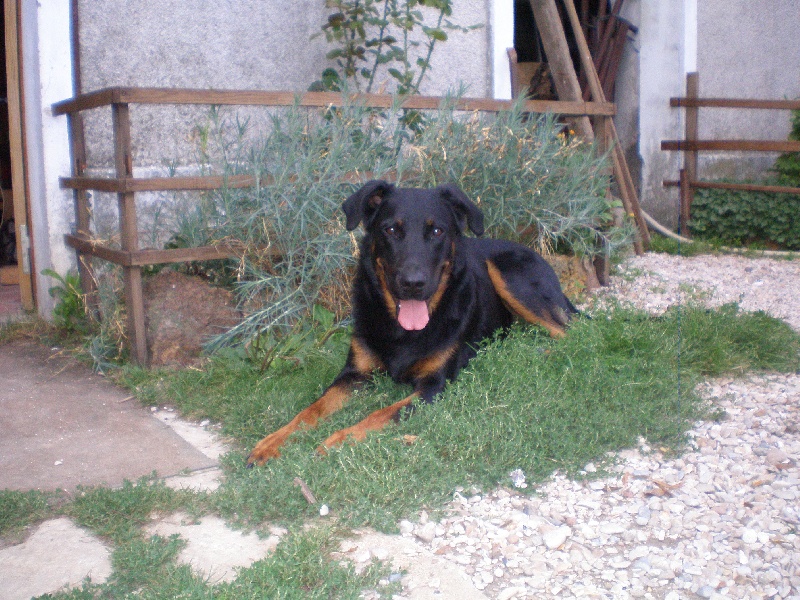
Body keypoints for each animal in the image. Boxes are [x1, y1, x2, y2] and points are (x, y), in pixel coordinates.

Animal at [247, 178, 580, 464]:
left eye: (437, 232)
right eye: (392, 229)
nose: (413, 283)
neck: (402, 332)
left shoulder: (433, 386)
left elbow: (381, 414)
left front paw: (337, 441)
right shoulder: (354, 373)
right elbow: (312, 409)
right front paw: (272, 442)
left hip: (507, 273)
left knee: (570, 332)